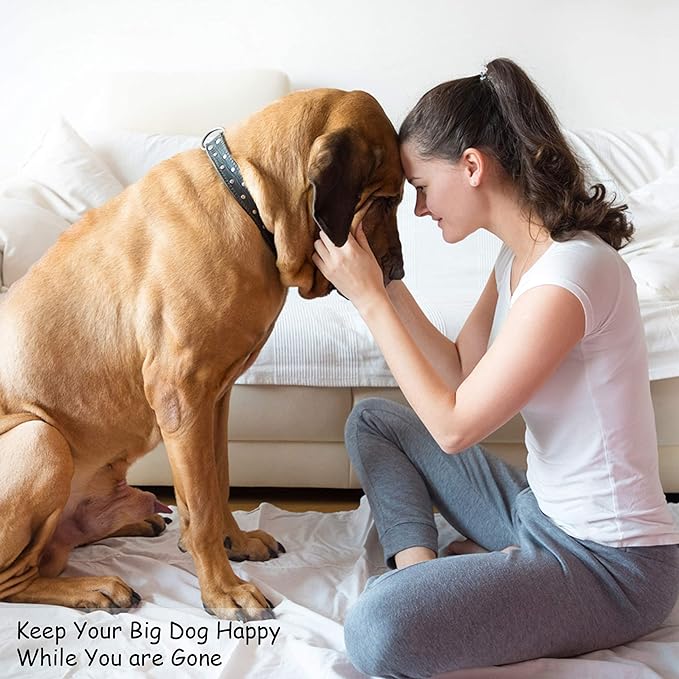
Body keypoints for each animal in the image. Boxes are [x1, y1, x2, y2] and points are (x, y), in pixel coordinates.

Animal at [0, 89, 404, 620]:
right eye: (387, 201)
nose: (399, 272)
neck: (247, 201)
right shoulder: (182, 396)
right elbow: (204, 506)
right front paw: (223, 591)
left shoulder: (215, 398)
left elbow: (217, 483)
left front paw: (236, 543)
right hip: (40, 440)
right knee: (17, 577)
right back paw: (92, 587)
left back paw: (133, 524)